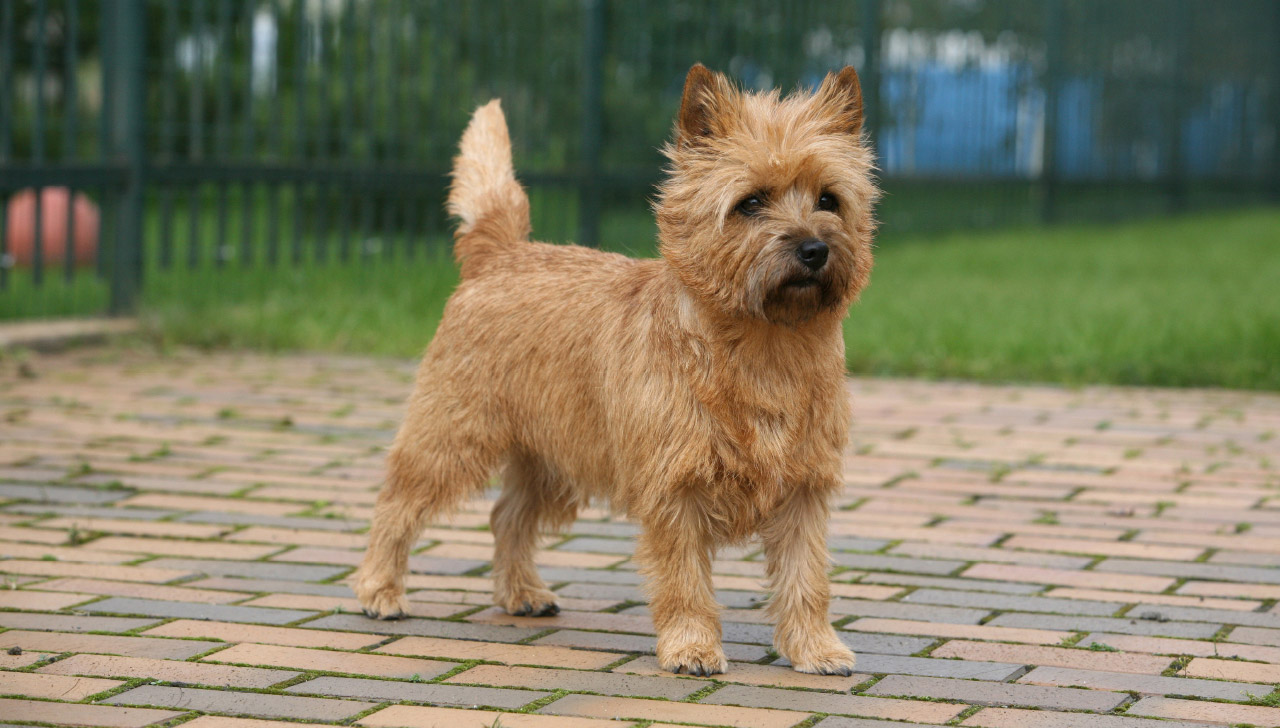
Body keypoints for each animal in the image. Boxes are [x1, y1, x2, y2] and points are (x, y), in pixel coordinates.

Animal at [360, 63, 880, 675]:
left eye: (829, 199)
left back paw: (521, 593)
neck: (765, 348)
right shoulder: (675, 488)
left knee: (507, 516)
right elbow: (684, 579)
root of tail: (501, 253)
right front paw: (692, 647)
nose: (814, 249)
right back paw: (379, 590)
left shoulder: (804, 489)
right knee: (397, 502)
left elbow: (807, 578)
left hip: (551, 457)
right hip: (453, 435)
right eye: (751, 202)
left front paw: (816, 648)